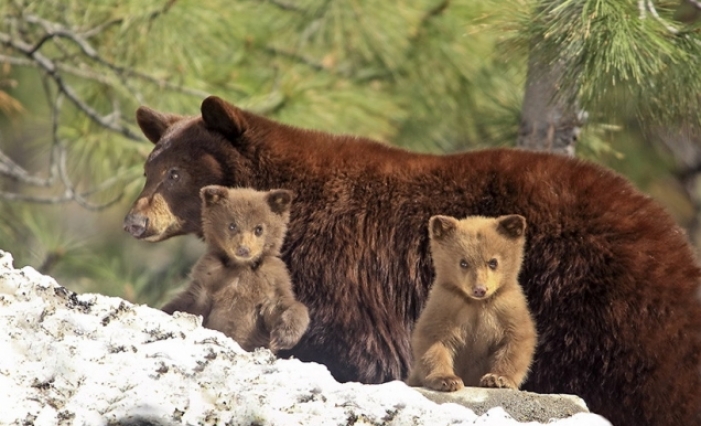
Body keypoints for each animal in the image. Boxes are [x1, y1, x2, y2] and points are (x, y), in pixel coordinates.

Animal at [163, 186, 310, 352]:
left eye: (259, 229)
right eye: (232, 225)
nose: (243, 249)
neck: (241, 266)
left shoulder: (272, 280)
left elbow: (283, 306)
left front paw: (284, 335)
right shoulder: (208, 275)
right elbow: (190, 302)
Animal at [404, 215, 536, 392]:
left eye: (493, 262)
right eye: (463, 262)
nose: (479, 289)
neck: (476, 304)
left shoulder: (507, 308)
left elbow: (517, 340)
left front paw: (497, 378)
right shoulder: (444, 306)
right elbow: (432, 339)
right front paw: (447, 380)